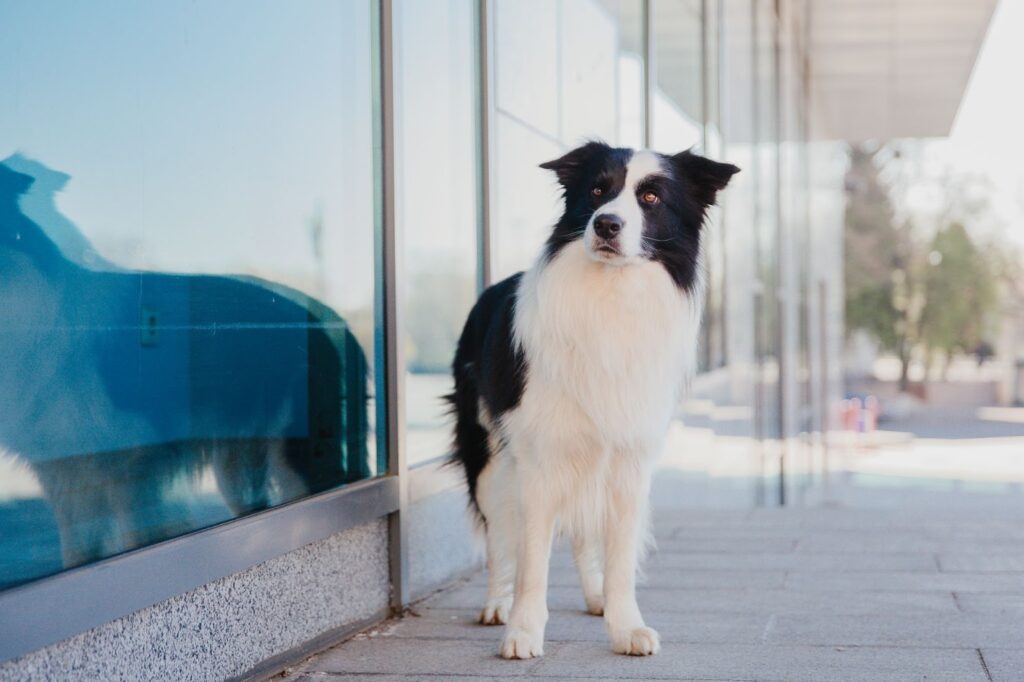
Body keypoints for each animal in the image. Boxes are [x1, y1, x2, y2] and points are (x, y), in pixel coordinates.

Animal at [448, 140, 737, 655]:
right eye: (598, 191)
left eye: (651, 197)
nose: (605, 224)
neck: (611, 292)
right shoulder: (539, 458)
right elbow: (532, 561)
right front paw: (522, 630)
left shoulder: (628, 459)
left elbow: (620, 559)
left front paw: (625, 626)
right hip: (489, 456)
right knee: (499, 533)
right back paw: (497, 604)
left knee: (584, 534)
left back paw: (594, 595)